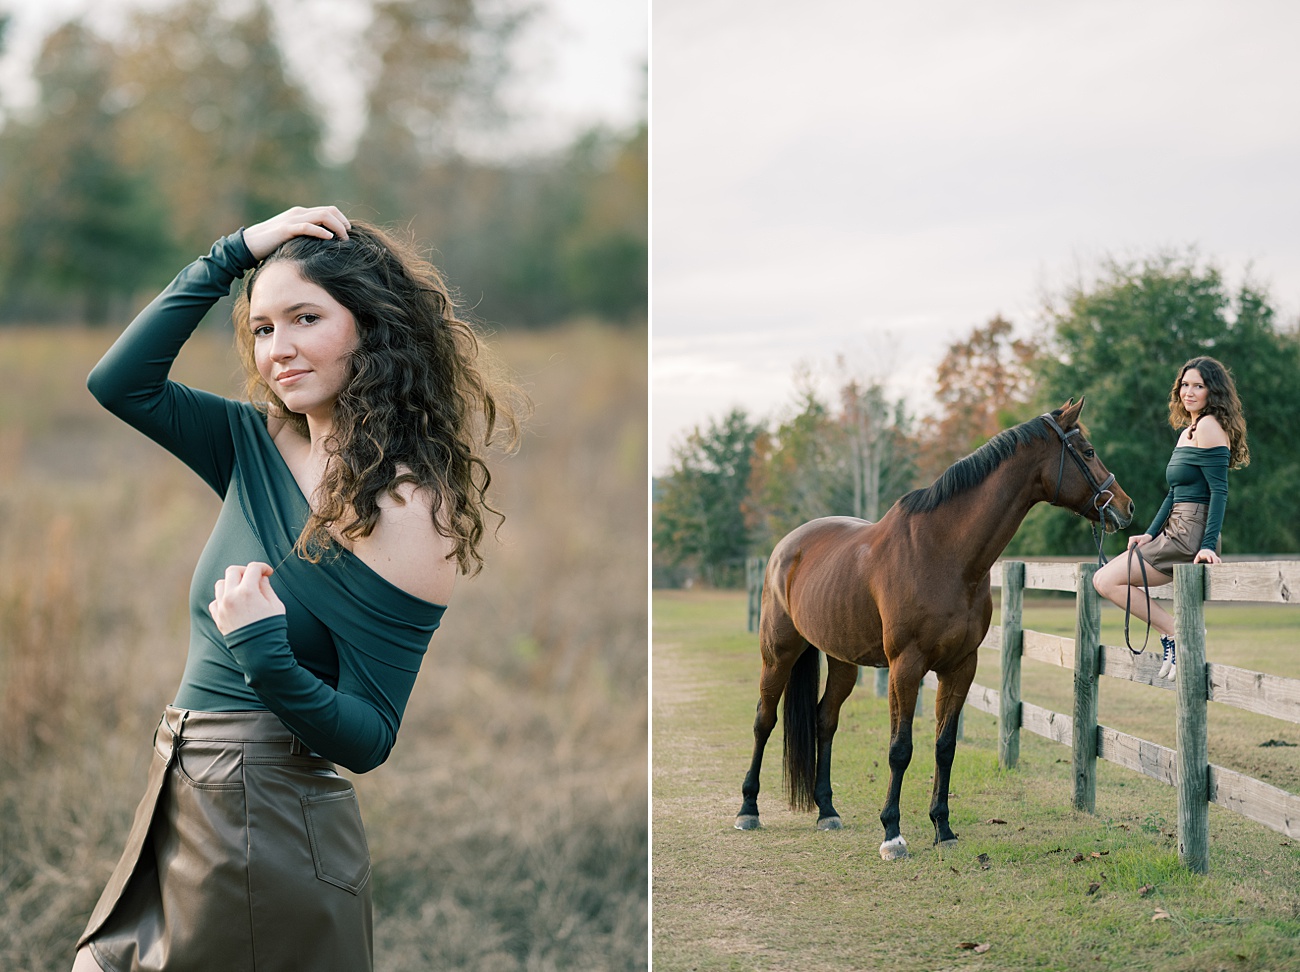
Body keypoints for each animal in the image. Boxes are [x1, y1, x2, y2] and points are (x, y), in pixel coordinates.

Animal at [738, 400, 1133, 857]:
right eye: (1087, 451)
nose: (1126, 507)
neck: (944, 553)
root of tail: (786, 547)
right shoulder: (905, 667)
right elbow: (900, 748)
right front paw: (892, 833)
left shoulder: (961, 666)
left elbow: (945, 747)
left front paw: (943, 828)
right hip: (778, 653)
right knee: (763, 720)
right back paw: (748, 809)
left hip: (842, 662)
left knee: (824, 721)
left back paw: (827, 811)